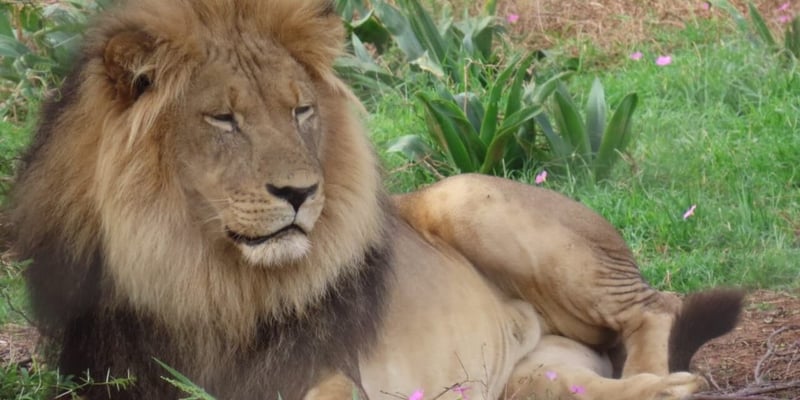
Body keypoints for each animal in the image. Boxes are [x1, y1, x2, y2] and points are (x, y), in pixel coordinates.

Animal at [7, 0, 742, 399]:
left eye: (300, 110)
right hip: (532, 376)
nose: (301, 192)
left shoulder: (334, 371)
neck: (204, 275)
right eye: (224, 120)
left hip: (466, 195)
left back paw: (669, 376)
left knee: (656, 307)